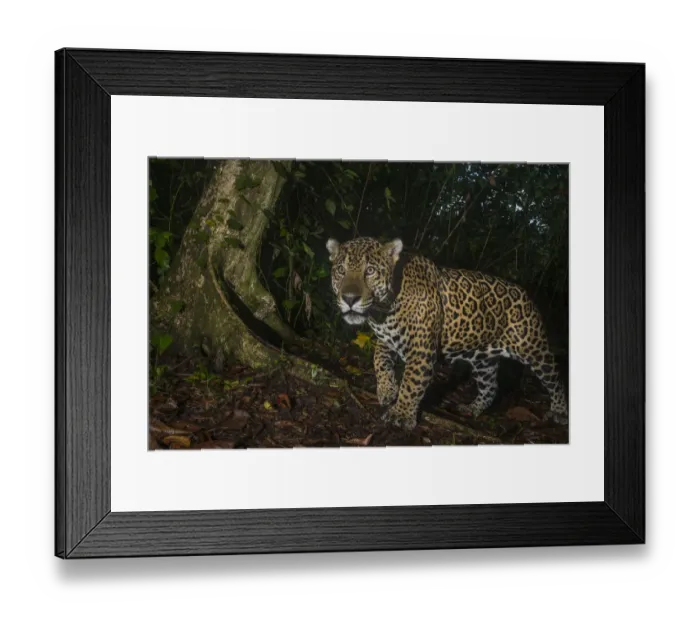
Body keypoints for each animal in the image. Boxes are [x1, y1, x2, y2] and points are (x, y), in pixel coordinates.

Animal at [326, 236, 568, 432]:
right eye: (341, 271)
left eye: (370, 271)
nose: (349, 298)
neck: (383, 309)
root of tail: (527, 295)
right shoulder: (387, 340)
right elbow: (379, 360)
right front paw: (387, 390)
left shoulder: (421, 350)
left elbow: (412, 383)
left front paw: (401, 415)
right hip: (483, 359)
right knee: (491, 387)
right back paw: (472, 408)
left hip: (534, 349)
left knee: (555, 378)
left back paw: (560, 411)